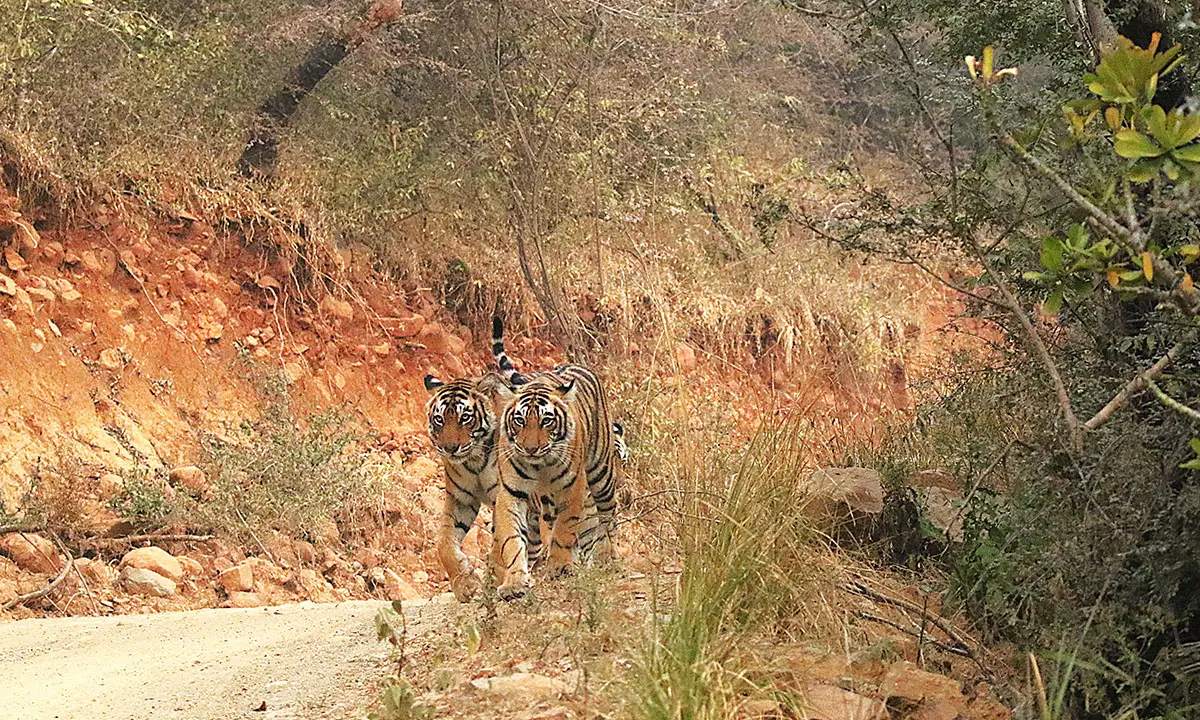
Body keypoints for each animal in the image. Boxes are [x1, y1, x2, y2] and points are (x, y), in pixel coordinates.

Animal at [488, 316, 623, 600]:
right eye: (519, 420)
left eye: (546, 421)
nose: (530, 449)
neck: (540, 466)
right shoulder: (511, 493)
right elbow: (512, 539)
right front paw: (514, 582)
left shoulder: (572, 488)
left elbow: (565, 528)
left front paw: (559, 567)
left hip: (601, 473)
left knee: (608, 515)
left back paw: (608, 556)